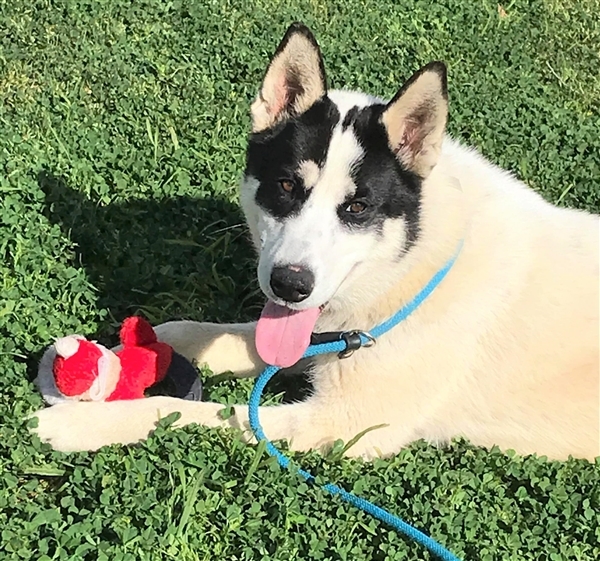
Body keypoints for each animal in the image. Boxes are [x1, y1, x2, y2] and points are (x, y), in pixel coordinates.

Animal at [34, 23, 600, 460]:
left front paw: (81, 424)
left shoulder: (338, 426)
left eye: (357, 208)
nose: (290, 285)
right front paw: (123, 350)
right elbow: (198, 331)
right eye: (287, 186)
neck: (412, 266)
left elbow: (179, 408)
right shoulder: (312, 333)